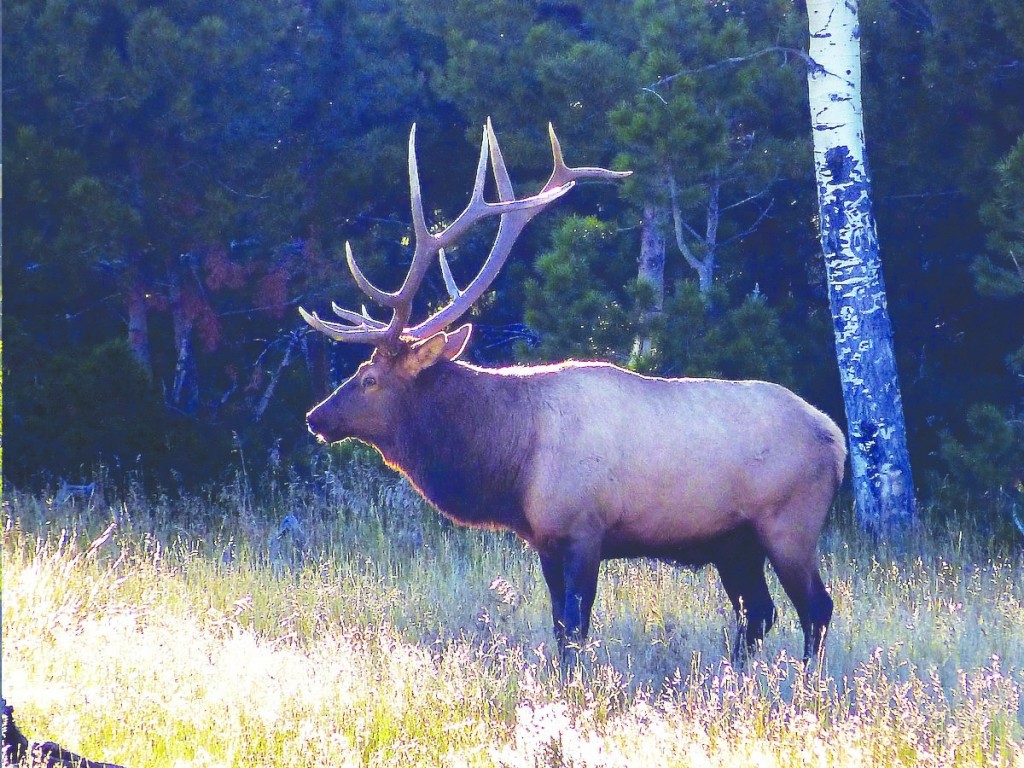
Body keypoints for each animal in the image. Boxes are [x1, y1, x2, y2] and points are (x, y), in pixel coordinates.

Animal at [299, 120, 843, 663]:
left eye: (369, 379)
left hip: (789, 523)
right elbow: (561, 626)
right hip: (735, 543)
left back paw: (804, 680)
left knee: (815, 608)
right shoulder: (545, 538)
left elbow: (577, 626)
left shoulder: (585, 529)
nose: (315, 417)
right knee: (759, 613)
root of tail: (835, 437)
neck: (514, 460)